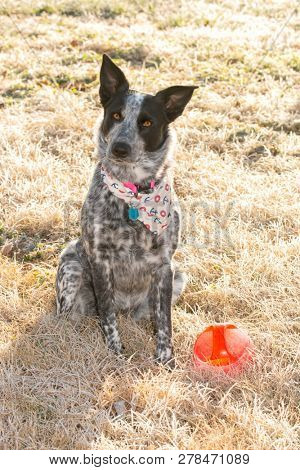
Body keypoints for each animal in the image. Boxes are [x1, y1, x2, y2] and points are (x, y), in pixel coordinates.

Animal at [56, 53, 197, 366]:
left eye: (146, 122)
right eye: (117, 115)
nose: (120, 147)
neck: (134, 194)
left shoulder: (164, 266)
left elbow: (165, 322)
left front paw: (165, 359)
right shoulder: (100, 261)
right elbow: (107, 315)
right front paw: (115, 352)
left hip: (179, 276)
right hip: (71, 268)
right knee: (68, 316)